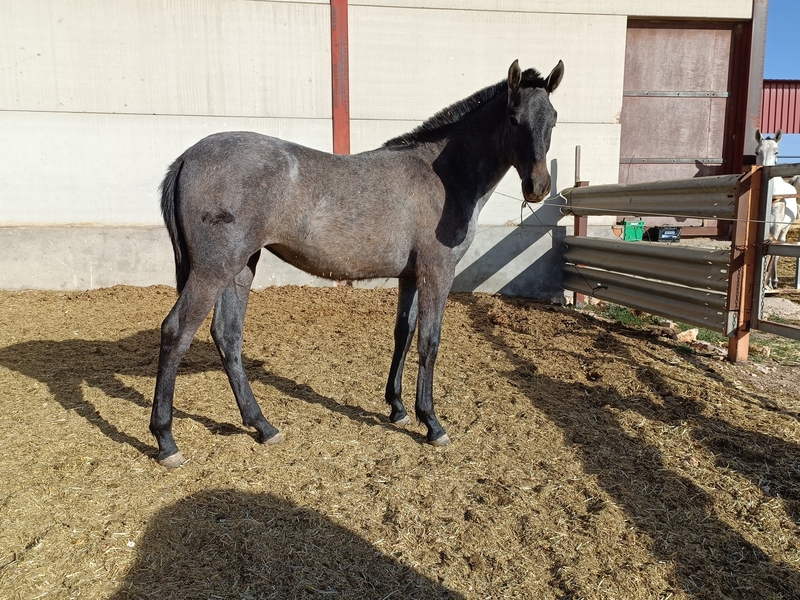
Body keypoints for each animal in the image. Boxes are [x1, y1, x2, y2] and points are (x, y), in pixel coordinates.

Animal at [151, 59, 565, 467]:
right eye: (513, 118)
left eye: (554, 118)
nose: (538, 187)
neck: (441, 175)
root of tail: (188, 157)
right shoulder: (437, 272)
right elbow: (429, 342)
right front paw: (431, 423)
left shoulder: (410, 276)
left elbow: (404, 332)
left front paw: (397, 408)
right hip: (213, 269)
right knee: (176, 332)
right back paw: (167, 441)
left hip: (239, 267)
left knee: (228, 336)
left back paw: (263, 426)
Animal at [755, 128, 798, 289]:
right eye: (757, 152)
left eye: (776, 152)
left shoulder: (774, 227)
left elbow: (772, 253)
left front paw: (766, 284)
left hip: (784, 230)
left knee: (778, 252)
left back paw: (773, 281)